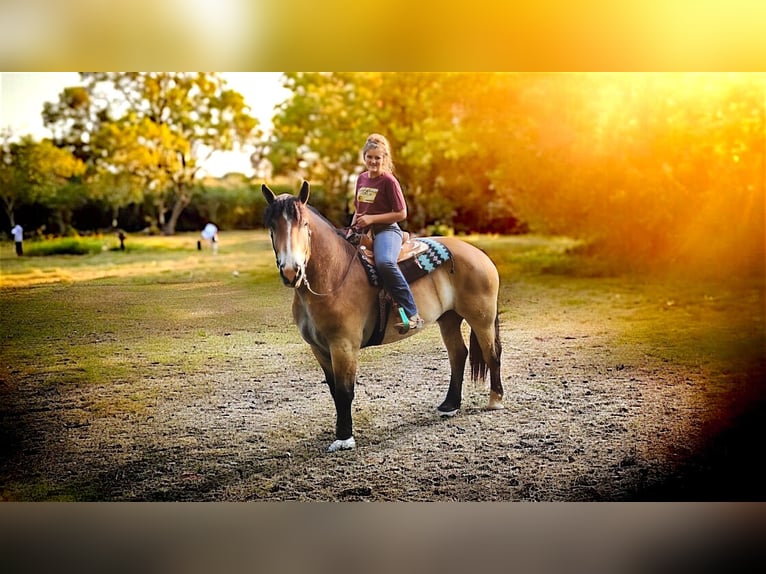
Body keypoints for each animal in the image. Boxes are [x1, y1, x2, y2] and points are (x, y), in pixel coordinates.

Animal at [260, 182, 508, 452]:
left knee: (491, 353)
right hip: (449, 318)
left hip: (481, 318)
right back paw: (449, 405)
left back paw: (495, 400)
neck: (334, 276)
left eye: (304, 224)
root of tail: (479, 254)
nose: (291, 271)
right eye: (272, 226)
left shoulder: (344, 346)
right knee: (458, 355)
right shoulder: (319, 348)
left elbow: (345, 391)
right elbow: (335, 390)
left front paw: (344, 438)